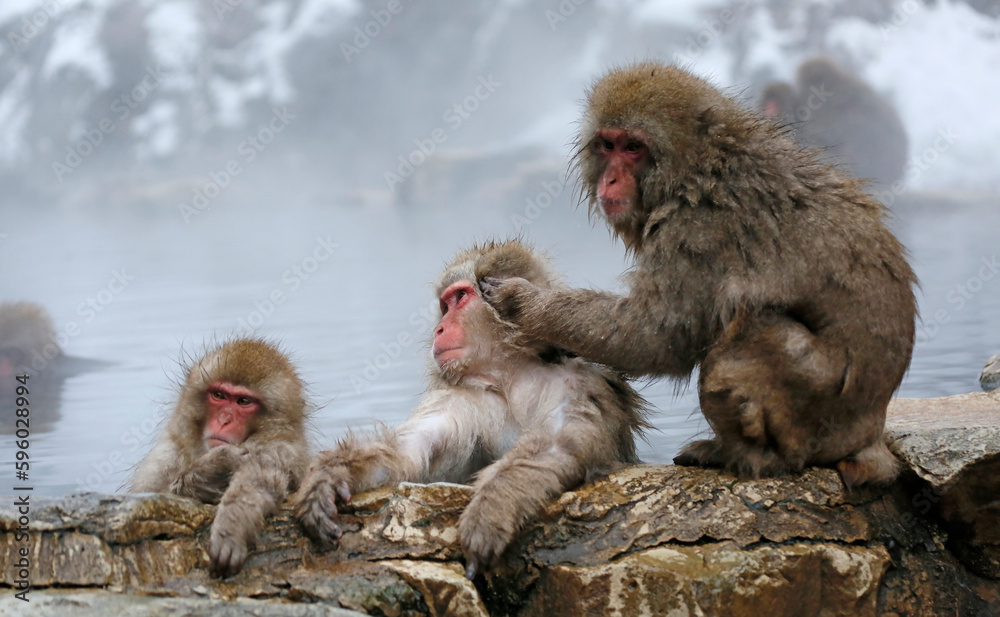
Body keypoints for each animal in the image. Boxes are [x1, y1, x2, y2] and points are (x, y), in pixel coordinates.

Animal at [130, 338, 310, 578]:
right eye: (219, 395)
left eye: (243, 401)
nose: (224, 420)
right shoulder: (167, 453)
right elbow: (147, 497)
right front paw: (211, 471)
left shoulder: (279, 449)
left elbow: (262, 479)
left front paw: (232, 524)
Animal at [295, 240, 651, 579]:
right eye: (445, 305)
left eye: (460, 297)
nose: (438, 330)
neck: (511, 376)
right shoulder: (462, 399)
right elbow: (408, 451)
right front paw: (328, 478)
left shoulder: (582, 385)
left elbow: (558, 445)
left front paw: (491, 507)